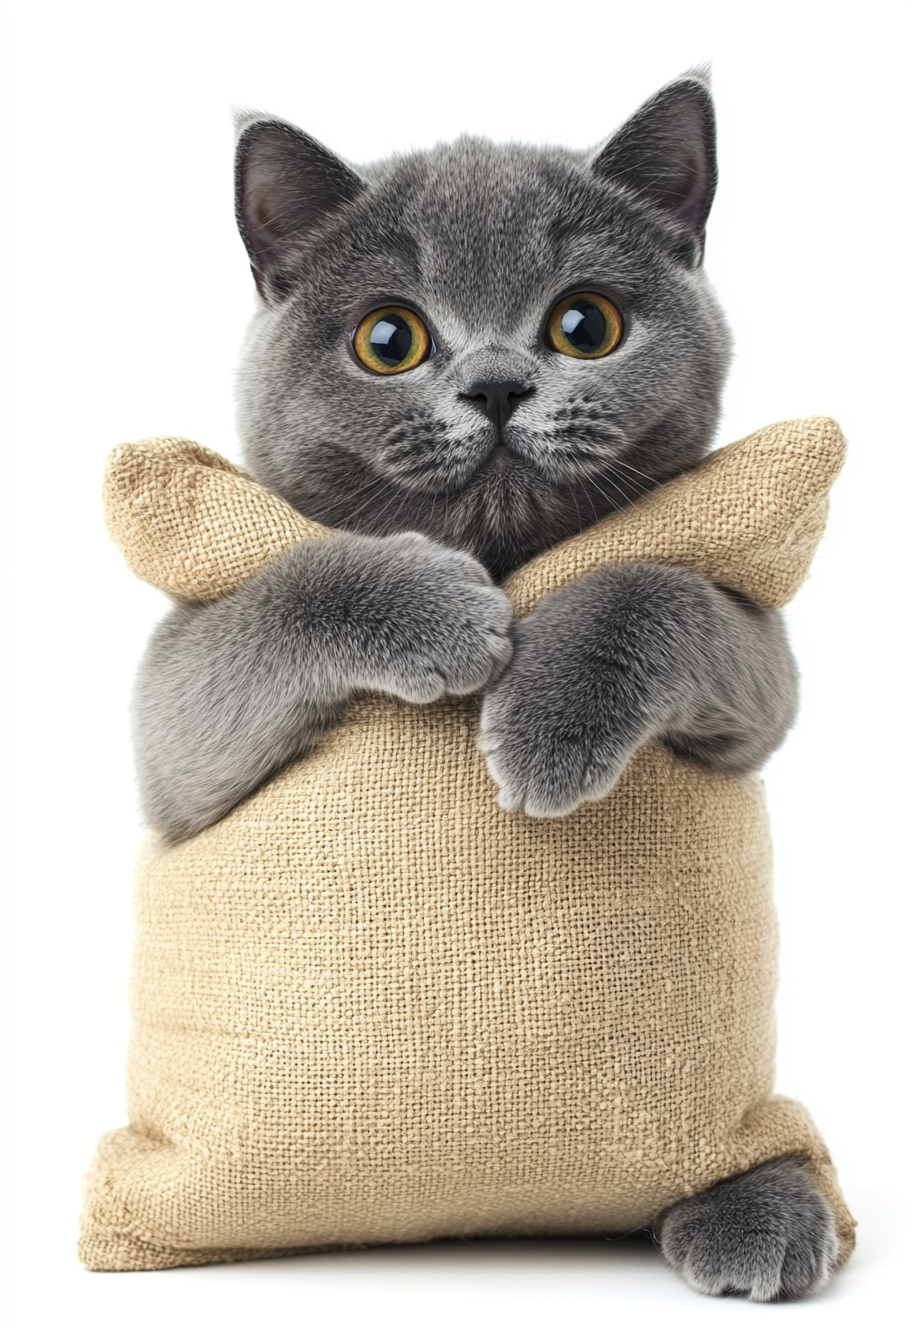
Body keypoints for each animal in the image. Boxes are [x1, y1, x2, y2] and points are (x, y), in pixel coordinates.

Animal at [132, 70, 838, 1296]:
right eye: (388, 339)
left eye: (584, 325)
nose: (500, 386)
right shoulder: (170, 730)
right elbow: (288, 585)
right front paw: (449, 616)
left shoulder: (762, 670)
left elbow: (650, 580)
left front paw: (547, 728)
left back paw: (759, 1205)